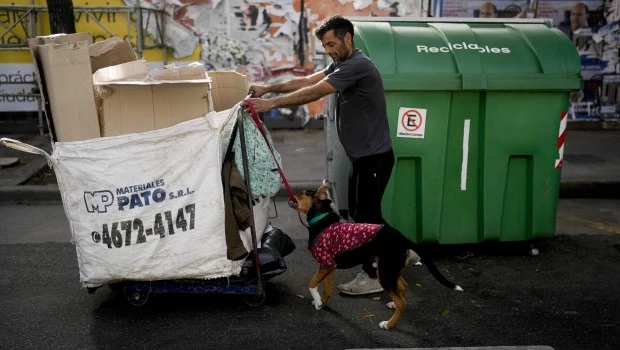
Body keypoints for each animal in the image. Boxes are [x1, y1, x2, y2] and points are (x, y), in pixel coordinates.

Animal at [294, 185, 462, 330]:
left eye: (302, 193)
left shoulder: (325, 264)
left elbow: (312, 283)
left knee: (402, 302)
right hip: (388, 269)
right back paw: (393, 305)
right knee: (403, 288)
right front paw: (321, 303)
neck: (321, 220)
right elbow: (327, 289)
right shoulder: (330, 266)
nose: (292, 195)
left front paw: (317, 301)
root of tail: (403, 238)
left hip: (385, 273)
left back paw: (389, 324)